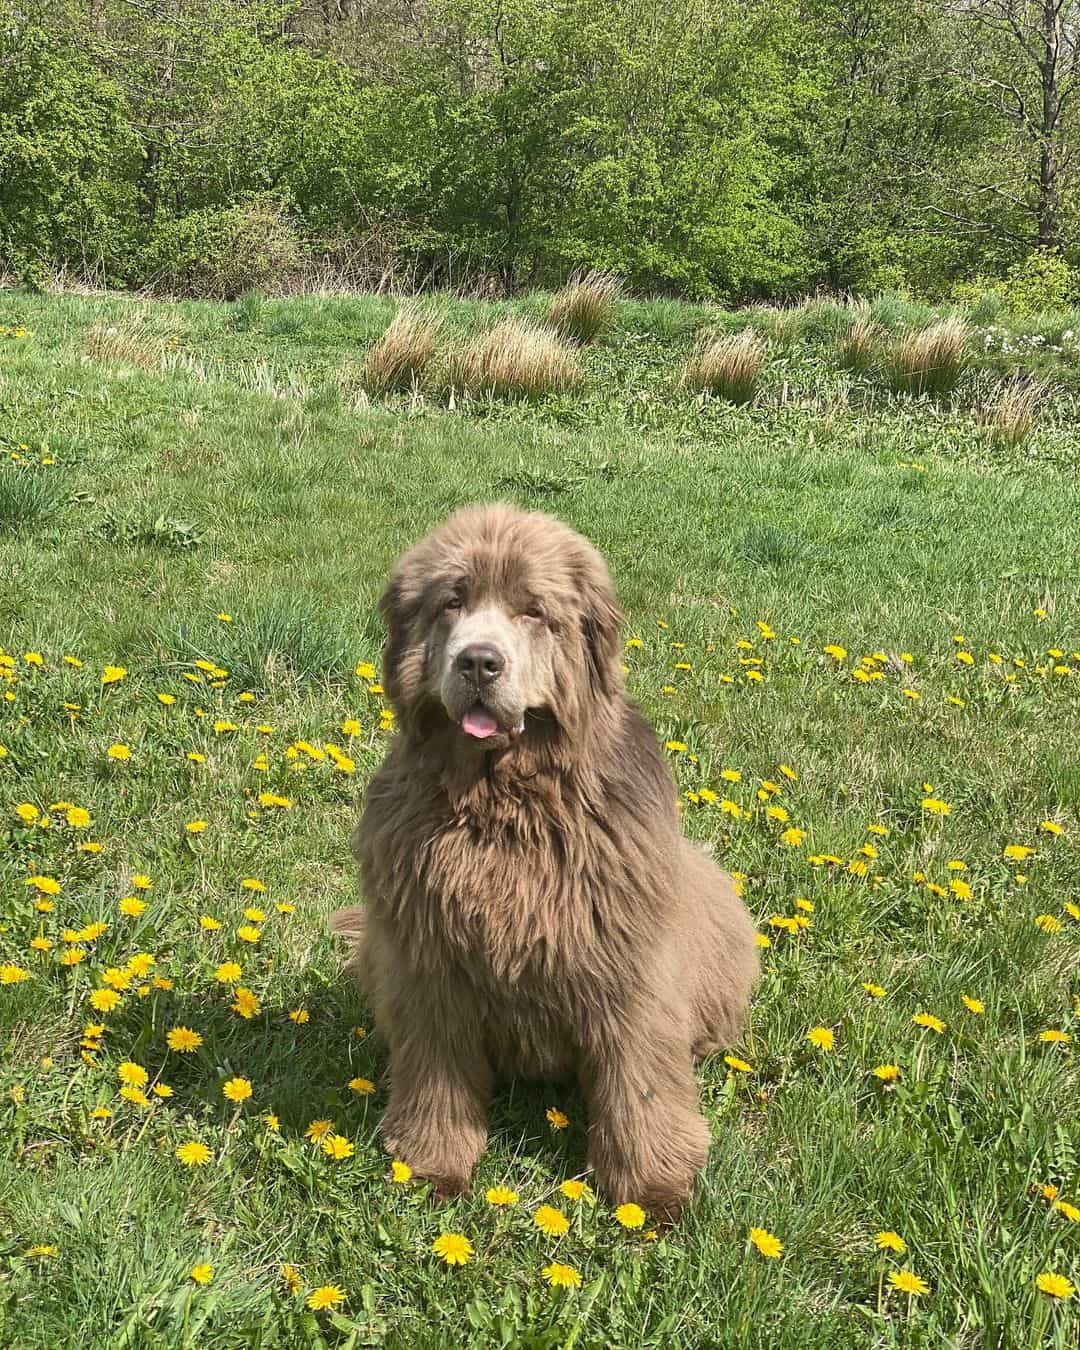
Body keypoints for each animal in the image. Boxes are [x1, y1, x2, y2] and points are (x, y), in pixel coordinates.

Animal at [330, 502, 761, 1220]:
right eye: (451, 602)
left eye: (534, 610)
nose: (479, 662)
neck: (504, 807)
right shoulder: (427, 963)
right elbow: (434, 1072)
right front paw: (432, 1165)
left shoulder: (626, 963)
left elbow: (640, 1079)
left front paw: (651, 1190)